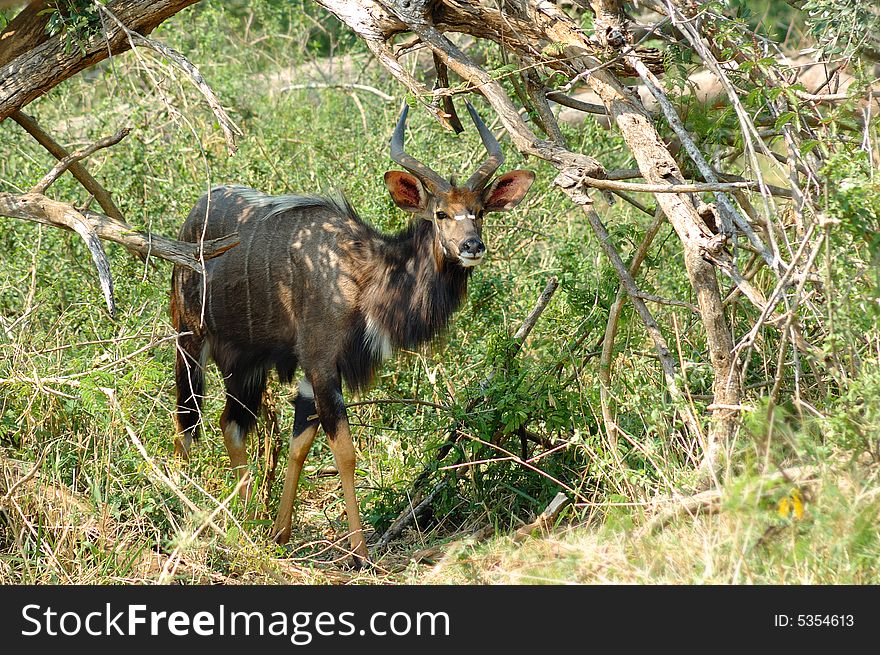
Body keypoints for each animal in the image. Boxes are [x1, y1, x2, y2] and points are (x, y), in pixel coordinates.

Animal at [169, 104, 532, 564]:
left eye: (480, 212)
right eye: (440, 214)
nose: (472, 246)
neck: (362, 272)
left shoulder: (316, 372)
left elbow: (299, 444)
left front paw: (280, 533)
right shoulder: (322, 361)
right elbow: (345, 451)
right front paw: (359, 552)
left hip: (246, 364)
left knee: (229, 423)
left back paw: (246, 520)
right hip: (189, 337)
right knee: (186, 420)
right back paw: (180, 508)